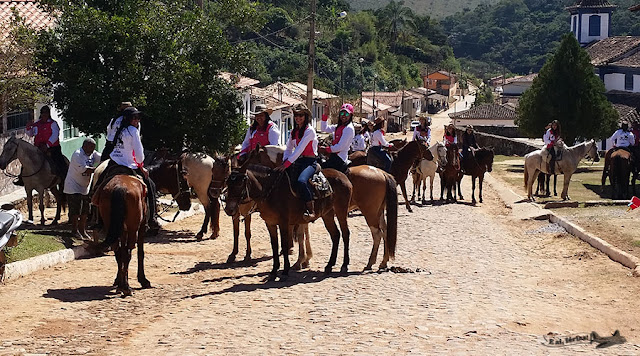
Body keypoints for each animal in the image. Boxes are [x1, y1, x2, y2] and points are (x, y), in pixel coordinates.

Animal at [224, 163, 356, 280]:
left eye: (240, 183)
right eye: (227, 183)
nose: (229, 209)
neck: (272, 191)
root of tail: (343, 176)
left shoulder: (284, 223)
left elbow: (285, 244)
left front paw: (285, 271)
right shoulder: (270, 223)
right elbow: (275, 246)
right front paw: (273, 272)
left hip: (341, 211)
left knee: (345, 234)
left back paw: (344, 265)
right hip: (327, 214)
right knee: (335, 235)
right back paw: (329, 265)